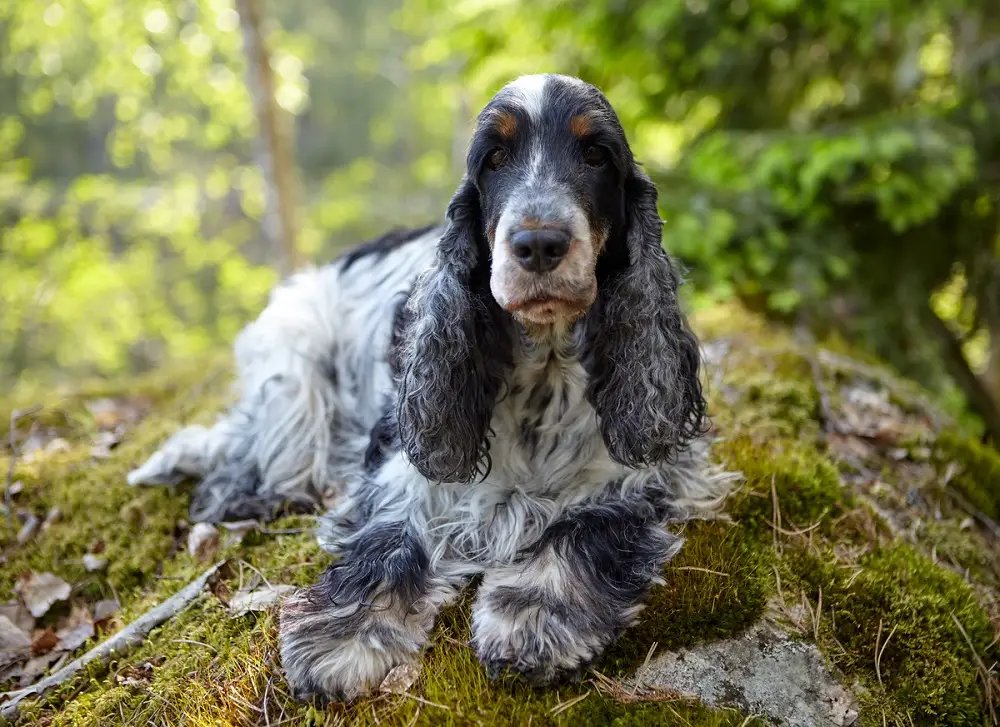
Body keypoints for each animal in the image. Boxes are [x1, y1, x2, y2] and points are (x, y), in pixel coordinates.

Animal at [129, 74, 732, 700]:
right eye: (494, 159)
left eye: (596, 155)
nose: (539, 243)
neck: (545, 364)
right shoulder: (407, 465)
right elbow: (391, 537)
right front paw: (342, 637)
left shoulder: (645, 474)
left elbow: (584, 531)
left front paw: (534, 620)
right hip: (295, 371)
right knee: (252, 452)